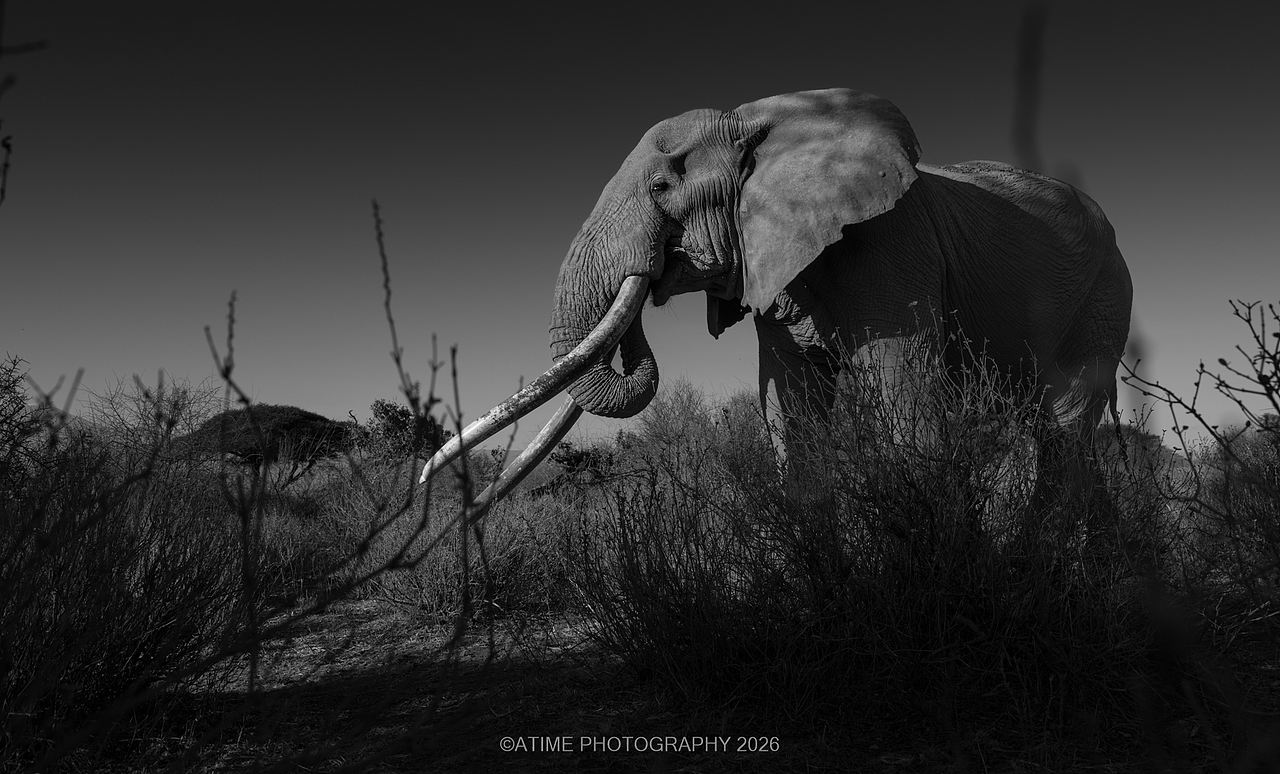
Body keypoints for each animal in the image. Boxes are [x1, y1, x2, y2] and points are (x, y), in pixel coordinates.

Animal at [419, 88, 1132, 511]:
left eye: (661, 187)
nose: (431, 487)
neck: (768, 123)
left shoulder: (894, 251)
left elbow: (902, 397)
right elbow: (790, 406)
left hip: (1104, 298)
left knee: (1063, 427)